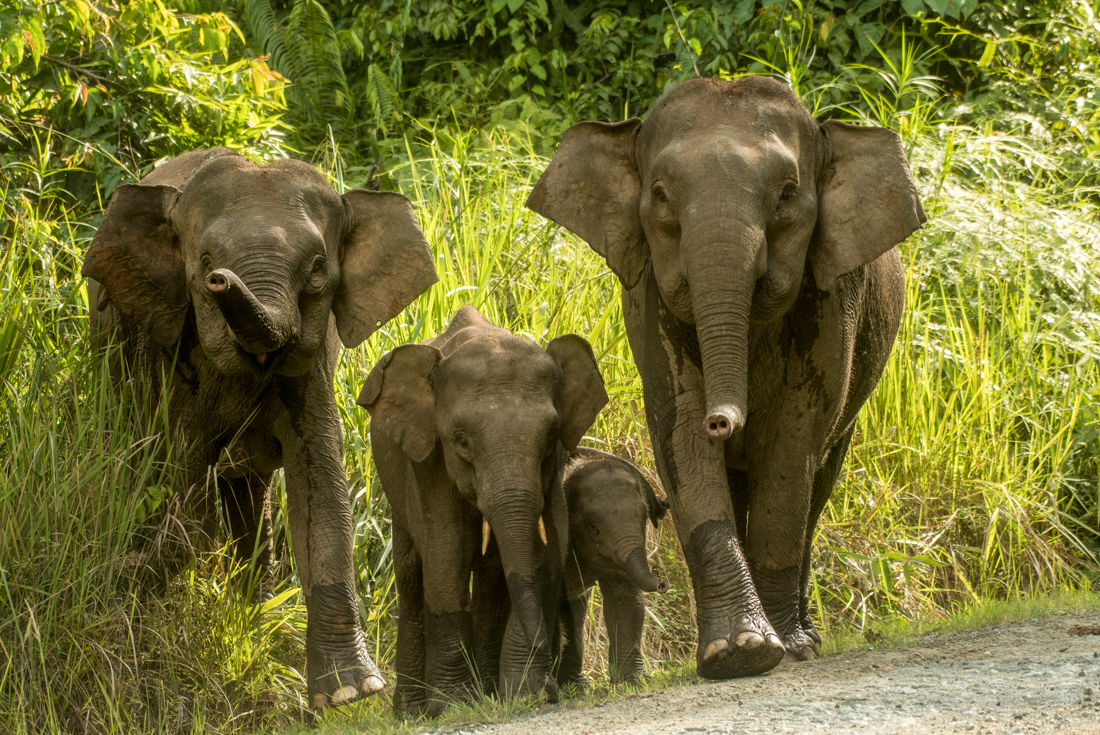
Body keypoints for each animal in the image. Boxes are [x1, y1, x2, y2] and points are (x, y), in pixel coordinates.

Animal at [80, 147, 437, 704]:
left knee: (250, 492)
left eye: (317, 270)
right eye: (205, 264)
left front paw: (349, 693)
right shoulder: (169, 355)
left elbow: (319, 488)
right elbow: (187, 487)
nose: (221, 281)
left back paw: (258, 614)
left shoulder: (314, 365)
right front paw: (135, 581)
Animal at [356, 303, 607, 712]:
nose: (550, 644)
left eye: (550, 436)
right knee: (411, 575)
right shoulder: (428, 460)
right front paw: (454, 706)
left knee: (490, 580)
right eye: (461, 442)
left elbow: (550, 546)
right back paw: (411, 712)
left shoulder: (553, 465)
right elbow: (448, 551)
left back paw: (487, 690)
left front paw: (528, 694)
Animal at [558, 448, 668, 690]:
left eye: (645, 516)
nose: (662, 584)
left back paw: (576, 687)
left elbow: (626, 600)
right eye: (592, 527)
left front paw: (635, 683)